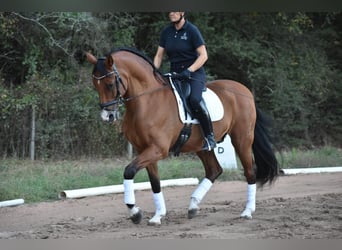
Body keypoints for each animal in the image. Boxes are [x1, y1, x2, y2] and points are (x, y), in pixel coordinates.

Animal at [85, 47, 278, 226]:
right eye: (95, 85)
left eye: (110, 84)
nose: (107, 117)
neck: (147, 102)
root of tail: (244, 90)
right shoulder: (145, 150)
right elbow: (155, 183)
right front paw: (157, 215)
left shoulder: (157, 150)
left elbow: (129, 171)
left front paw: (135, 212)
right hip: (201, 146)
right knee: (214, 170)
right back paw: (193, 206)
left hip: (242, 139)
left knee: (249, 171)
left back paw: (247, 211)